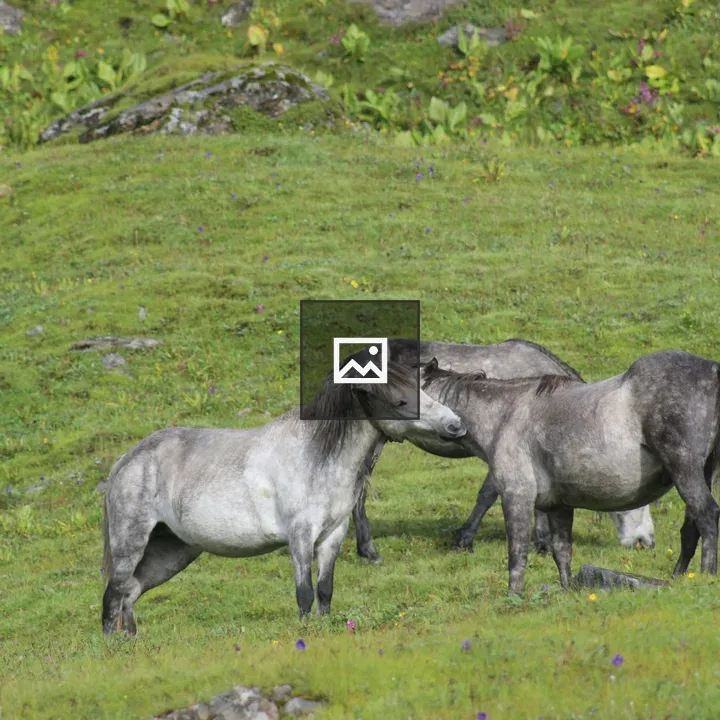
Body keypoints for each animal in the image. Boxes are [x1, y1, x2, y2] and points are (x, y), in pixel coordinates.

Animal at [101, 359, 466, 635]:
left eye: (422, 391)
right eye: (400, 402)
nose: (456, 425)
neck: (316, 456)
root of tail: (127, 461)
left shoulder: (333, 534)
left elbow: (324, 589)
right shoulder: (300, 534)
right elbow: (304, 593)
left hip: (174, 549)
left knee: (129, 594)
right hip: (130, 544)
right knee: (113, 596)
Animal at [419, 350, 720, 594]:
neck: (506, 415)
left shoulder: (517, 496)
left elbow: (517, 553)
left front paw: (514, 596)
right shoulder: (558, 506)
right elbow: (561, 552)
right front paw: (567, 591)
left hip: (685, 469)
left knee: (707, 514)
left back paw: (706, 575)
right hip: (703, 473)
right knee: (691, 527)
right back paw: (679, 577)